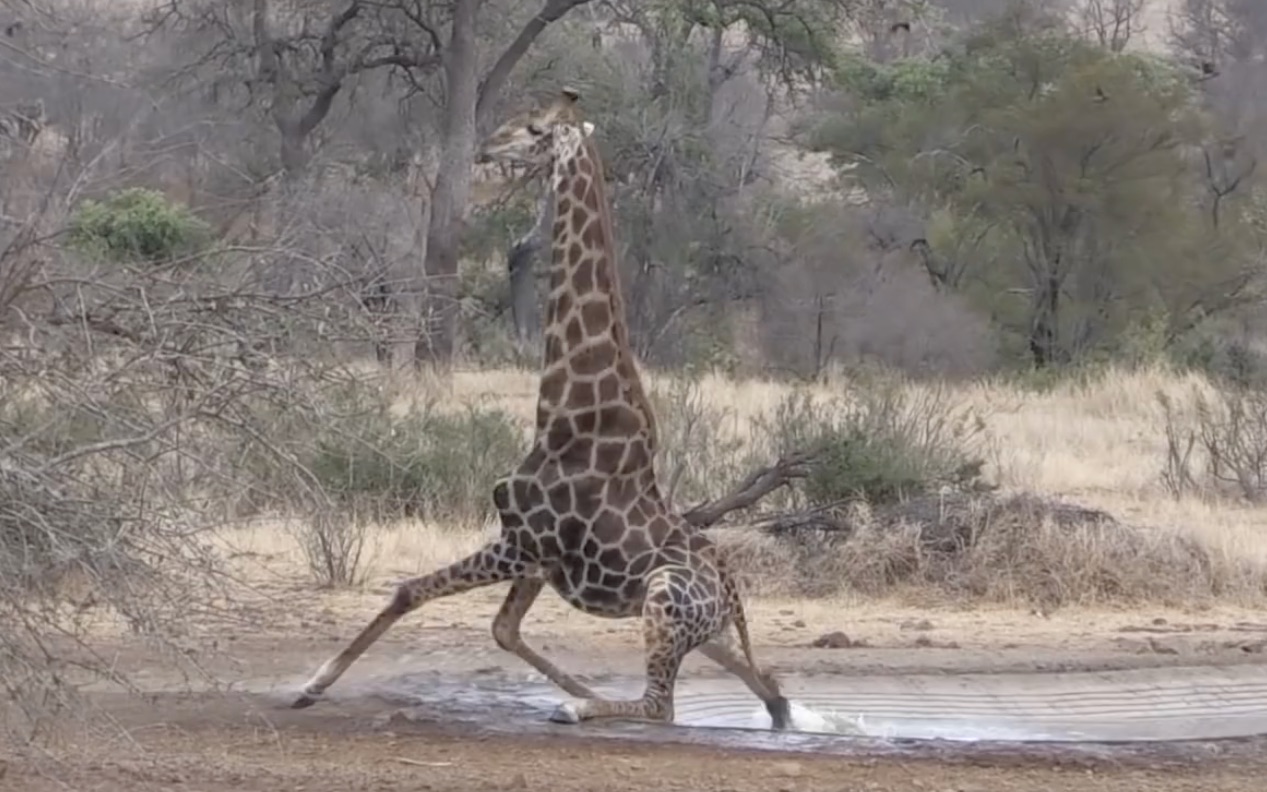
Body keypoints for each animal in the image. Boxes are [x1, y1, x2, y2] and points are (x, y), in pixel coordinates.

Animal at [292, 88, 790, 729]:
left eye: (532, 129)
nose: (485, 148)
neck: (562, 412)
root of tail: (731, 596)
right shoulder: (535, 555)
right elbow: (502, 629)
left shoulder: (524, 541)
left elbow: (411, 590)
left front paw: (312, 683)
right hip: (696, 625)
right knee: (764, 683)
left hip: (662, 595)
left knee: (663, 706)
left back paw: (579, 709)